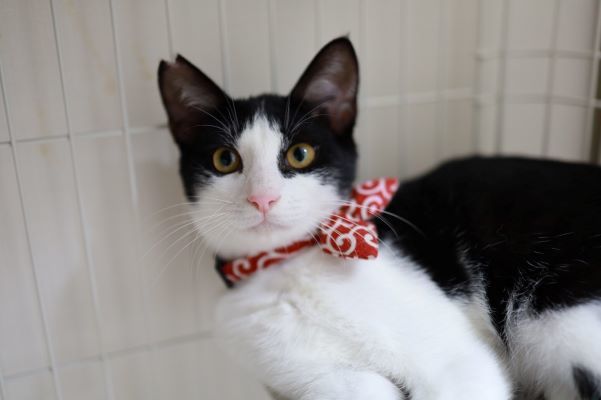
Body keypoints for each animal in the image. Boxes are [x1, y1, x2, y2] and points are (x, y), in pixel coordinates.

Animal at [158, 37, 601, 400]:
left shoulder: (457, 363)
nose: (262, 198)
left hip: (557, 320)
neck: (288, 267)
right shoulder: (311, 375)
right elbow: (358, 386)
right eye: (224, 160)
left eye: (300, 154)